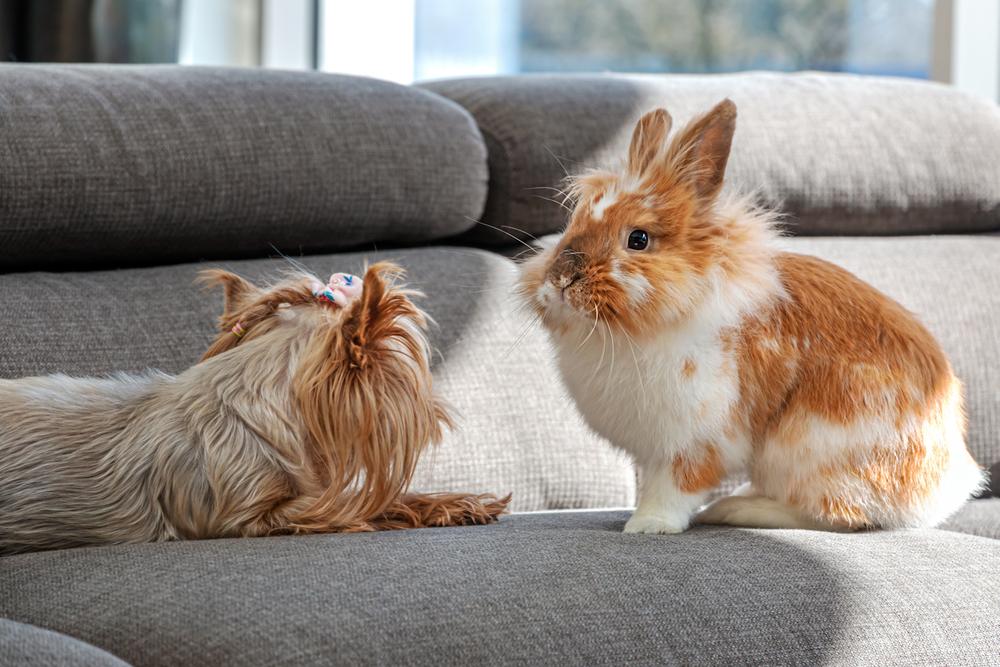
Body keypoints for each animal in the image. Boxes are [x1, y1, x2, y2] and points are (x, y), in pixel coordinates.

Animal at [520, 99, 988, 536]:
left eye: (638, 239)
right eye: (572, 223)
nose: (561, 278)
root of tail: (945, 489)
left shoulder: (695, 440)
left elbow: (674, 487)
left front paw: (647, 525)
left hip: (804, 450)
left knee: (837, 516)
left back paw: (737, 509)